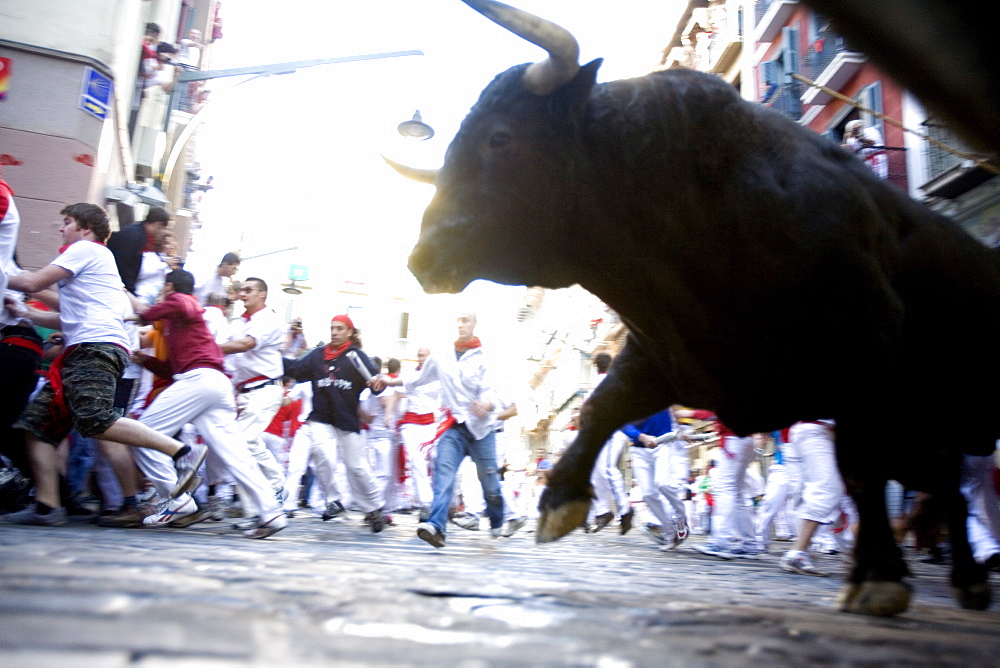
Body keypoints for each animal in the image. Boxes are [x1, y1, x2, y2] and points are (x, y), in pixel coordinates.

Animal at [388, 1, 1000, 616]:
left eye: (499, 137)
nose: (421, 257)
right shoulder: (668, 353)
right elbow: (601, 407)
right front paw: (560, 502)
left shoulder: (864, 365)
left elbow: (859, 471)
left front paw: (878, 577)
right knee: (942, 483)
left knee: (938, 483)